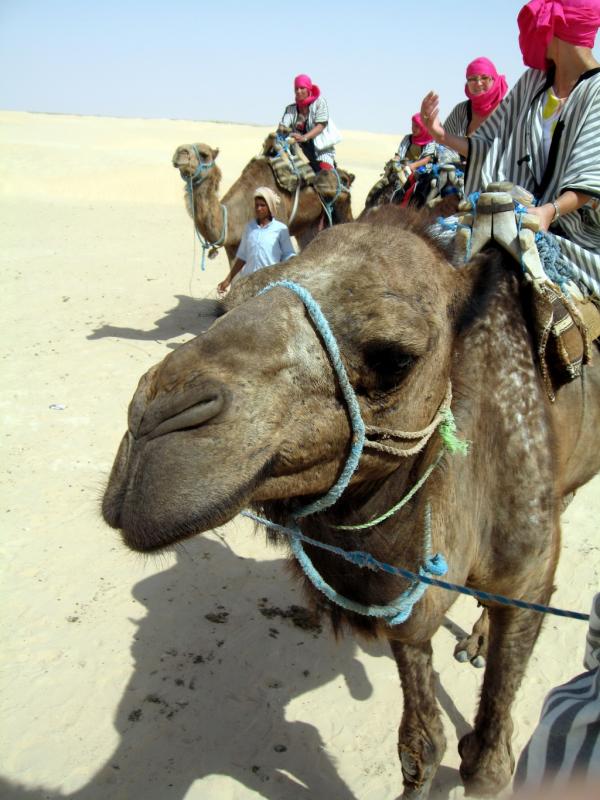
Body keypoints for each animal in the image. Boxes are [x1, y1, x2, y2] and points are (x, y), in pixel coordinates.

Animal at [102, 208, 600, 800]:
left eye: (395, 358)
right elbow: (420, 743)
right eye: (228, 304)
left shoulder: (526, 574)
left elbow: (487, 764)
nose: (151, 418)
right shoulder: (401, 592)